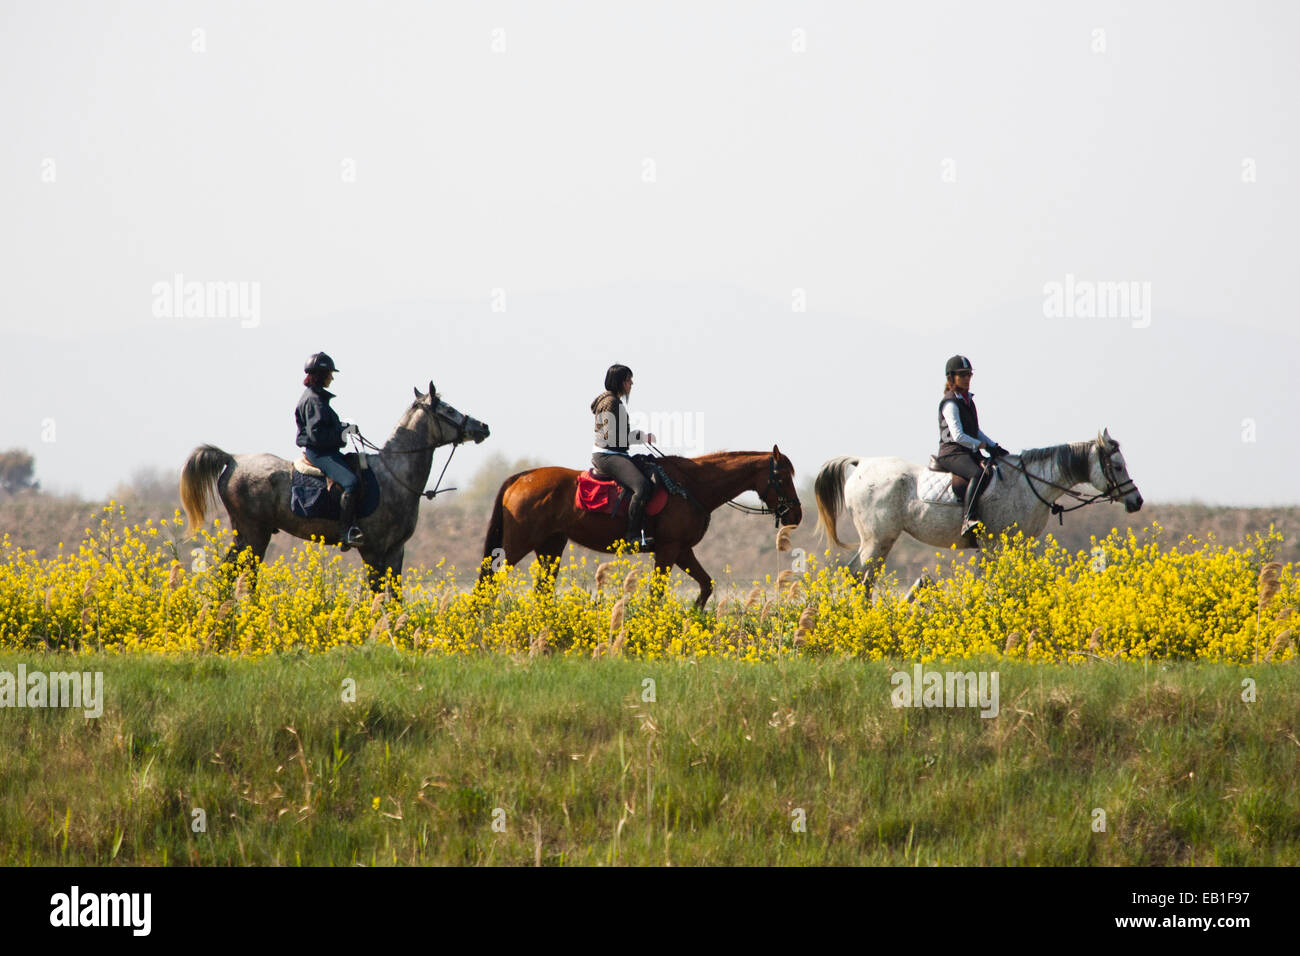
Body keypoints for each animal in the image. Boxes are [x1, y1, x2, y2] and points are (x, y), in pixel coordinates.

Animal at [180, 382, 488, 595]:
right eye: (448, 409)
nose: (483, 427)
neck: (394, 474)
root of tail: (232, 459)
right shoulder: (373, 550)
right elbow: (377, 595)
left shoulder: (395, 551)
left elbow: (395, 598)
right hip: (252, 534)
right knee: (234, 574)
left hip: (250, 536)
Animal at [480, 447, 800, 608]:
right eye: (782, 477)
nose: (796, 514)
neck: (691, 485)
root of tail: (522, 477)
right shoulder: (669, 550)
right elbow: (656, 594)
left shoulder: (682, 550)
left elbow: (706, 585)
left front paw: (694, 618)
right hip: (516, 546)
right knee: (490, 582)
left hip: (550, 546)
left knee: (542, 590)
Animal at [816, 431, 1144, 598]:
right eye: (1117, 466)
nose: (1137, 501)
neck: (1027, 484)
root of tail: (861, 464)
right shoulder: (993, 544)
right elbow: (991, 582)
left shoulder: (1019, 546)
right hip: (878, 539)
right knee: (859, 576)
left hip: (879, 541)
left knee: (861, 577)